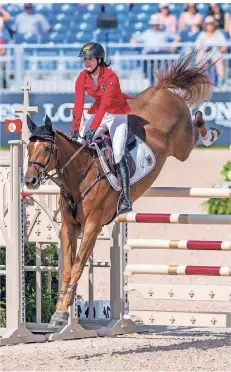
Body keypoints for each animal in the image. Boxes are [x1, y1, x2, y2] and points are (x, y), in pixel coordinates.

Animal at [24, 50, 218, 326]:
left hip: (181, 145)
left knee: (195, 130)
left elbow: (78, 265)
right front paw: (60, 311)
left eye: (47, 148)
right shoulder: (69, 226)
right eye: (28, 147)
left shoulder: (93, 226)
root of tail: (159, 88)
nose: (30, 180)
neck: (79, 176)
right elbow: (68, 267)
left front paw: (61, 312)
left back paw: (208, 127)